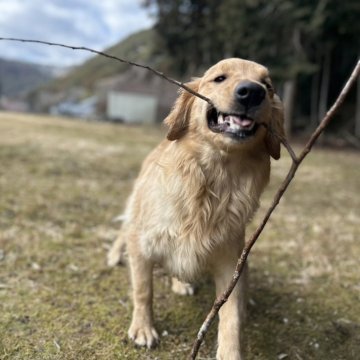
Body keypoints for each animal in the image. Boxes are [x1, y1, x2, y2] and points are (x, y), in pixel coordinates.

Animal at [107, 57, 284, 358]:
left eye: (268, 86)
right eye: (220, 78)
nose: (252, 92)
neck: (214, 179)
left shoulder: (230, 263)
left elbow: (231, 315)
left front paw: (230, 352)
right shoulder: (143, 242)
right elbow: (143, 290)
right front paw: (143, 328)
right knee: (123, 230)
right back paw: (114, 255)